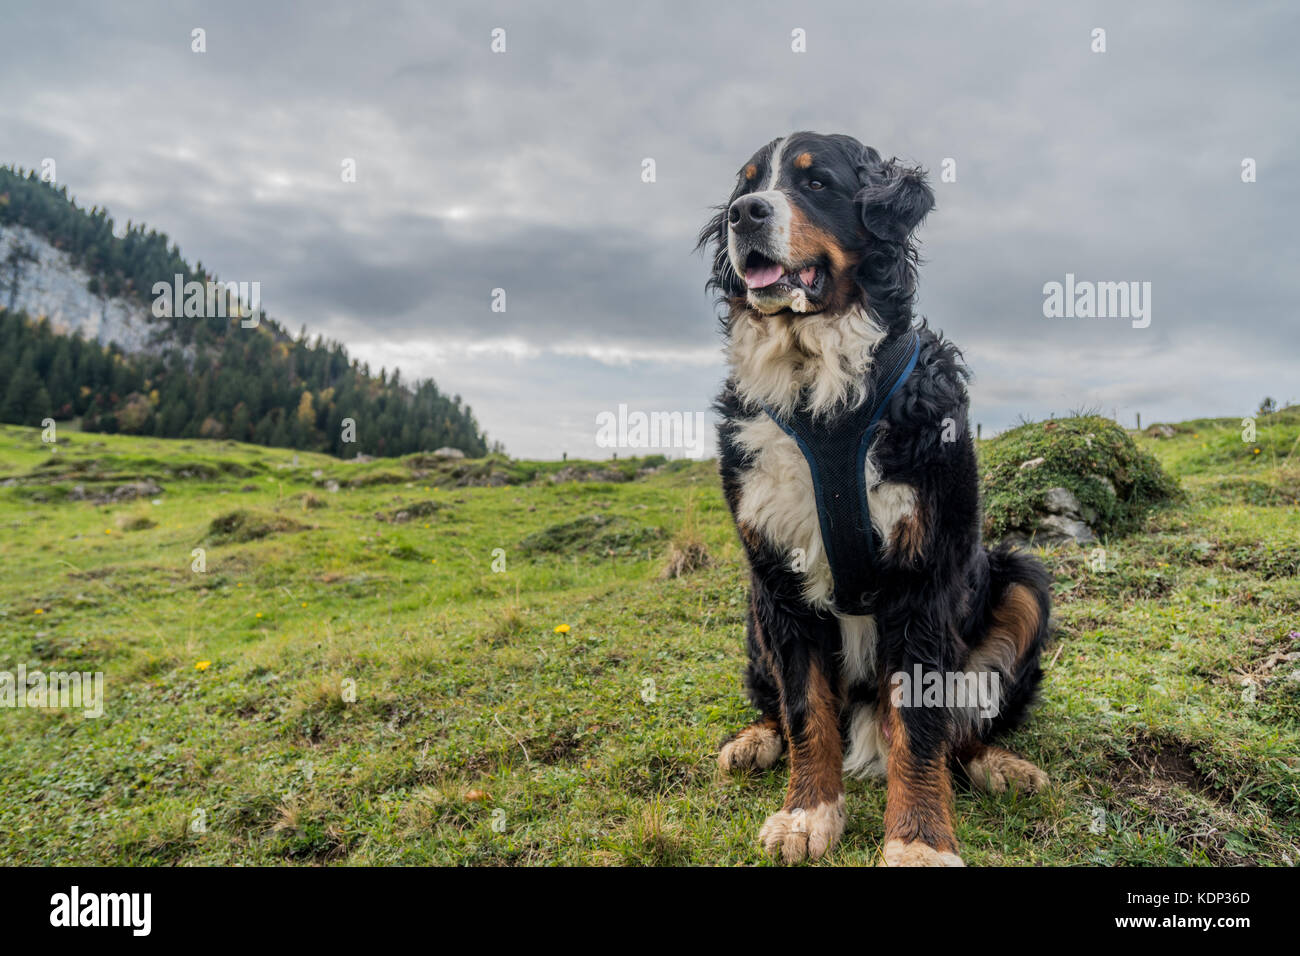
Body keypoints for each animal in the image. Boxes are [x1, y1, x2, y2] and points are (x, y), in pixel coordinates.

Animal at [696, 130, 1050, 868]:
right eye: (747, 183)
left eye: (816, 183)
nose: (744, 215)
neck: (821, 390)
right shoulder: (778, 578)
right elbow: (805, 710)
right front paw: (808, 812)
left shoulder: (922, 580)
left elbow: (920, 728)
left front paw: (918, 841)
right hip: (752, 617)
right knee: (780, 707)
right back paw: (753, 740)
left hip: (1021, 579)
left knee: (961, 727)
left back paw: (998, 763)